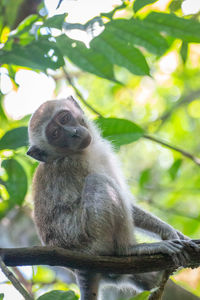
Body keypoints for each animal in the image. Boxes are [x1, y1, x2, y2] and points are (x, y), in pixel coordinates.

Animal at [27, 96, 198, 300]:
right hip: (89, 240)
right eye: (55, 134)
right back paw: (128, 250)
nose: (73, 133)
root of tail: (79, 269)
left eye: (65, 118)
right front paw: (165, 235)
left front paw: (175, 233)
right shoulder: (76, 165)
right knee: (98, 181)